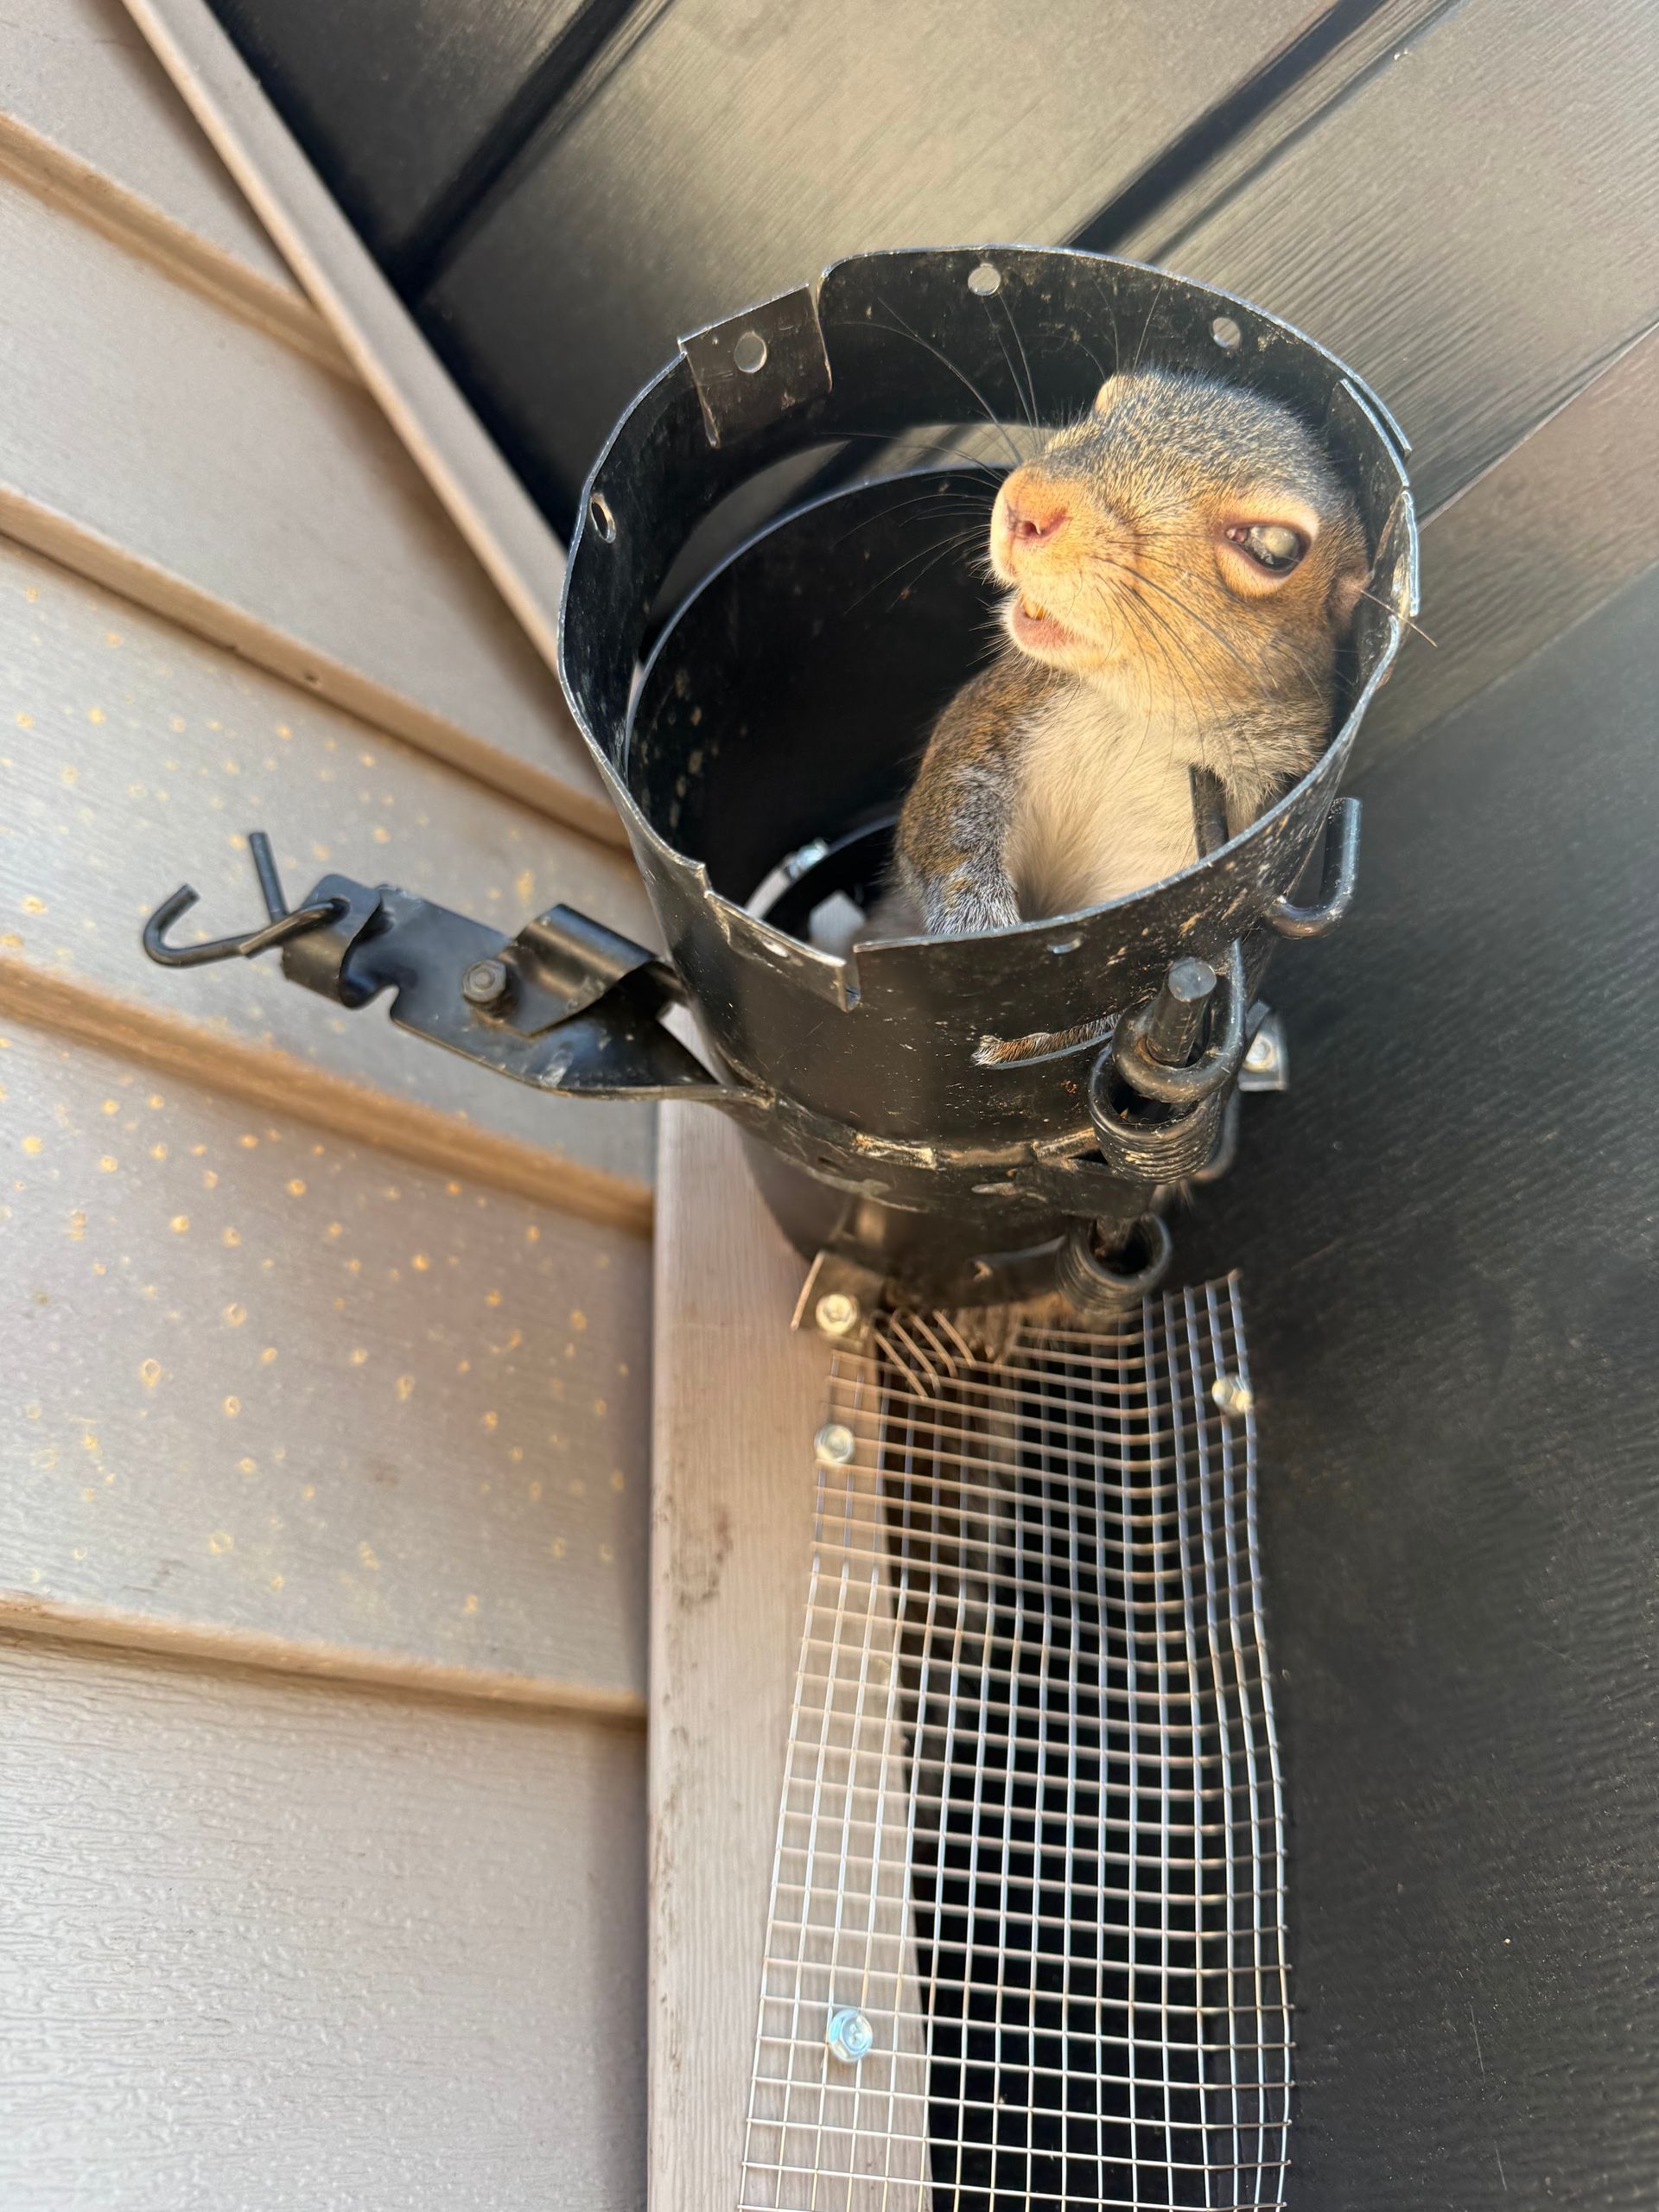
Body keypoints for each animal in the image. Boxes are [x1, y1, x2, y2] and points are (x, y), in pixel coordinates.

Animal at [872, 367, 1369, 941]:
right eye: (1104, 403)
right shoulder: (998, 709)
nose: (1027, 503)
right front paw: (975, 927)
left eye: (1273, 548)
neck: (1143, 716)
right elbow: (947, 814)